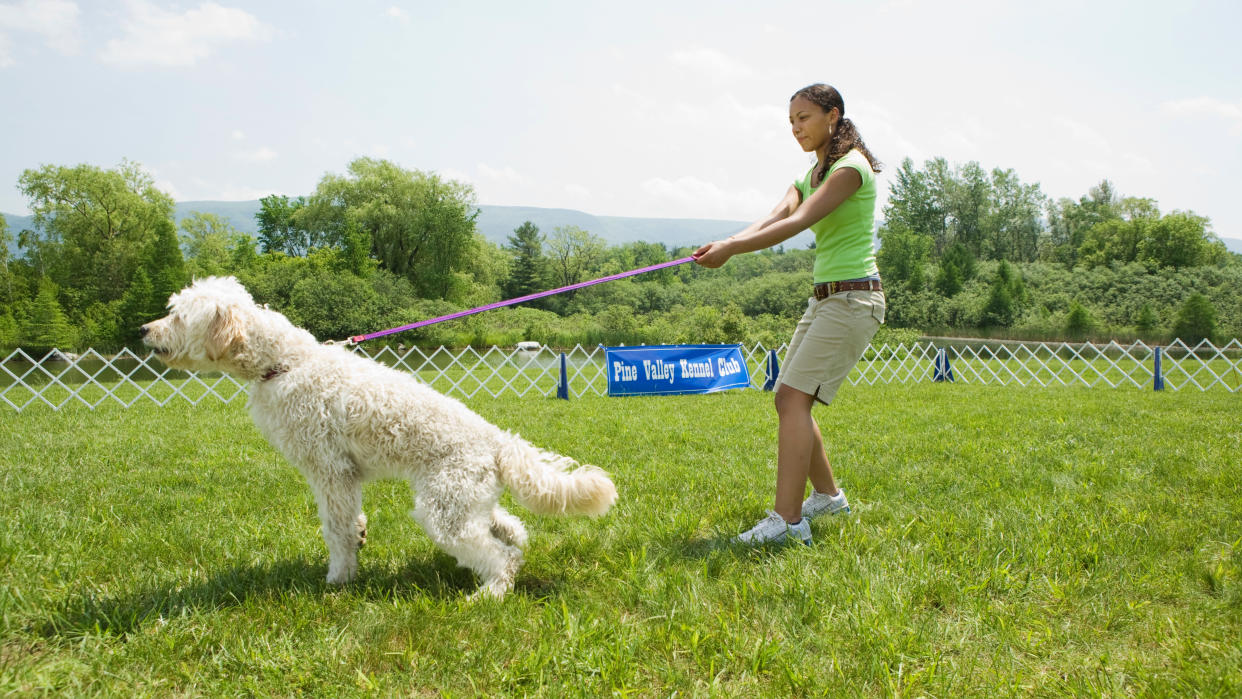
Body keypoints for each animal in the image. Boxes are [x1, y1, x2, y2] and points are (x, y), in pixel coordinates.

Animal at [140, 276, 616, 598]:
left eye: (178, 315)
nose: (144, 330)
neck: (285, 363)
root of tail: (499, 441)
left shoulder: (330, 472)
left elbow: (336, 530)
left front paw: (338, 578)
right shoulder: (342, 477)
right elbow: (349, 522)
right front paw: (360, 537)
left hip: (444, 512)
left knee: (500, 557)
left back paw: (489, 596)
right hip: (463, 499)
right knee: (509, 531)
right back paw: (509, 549)